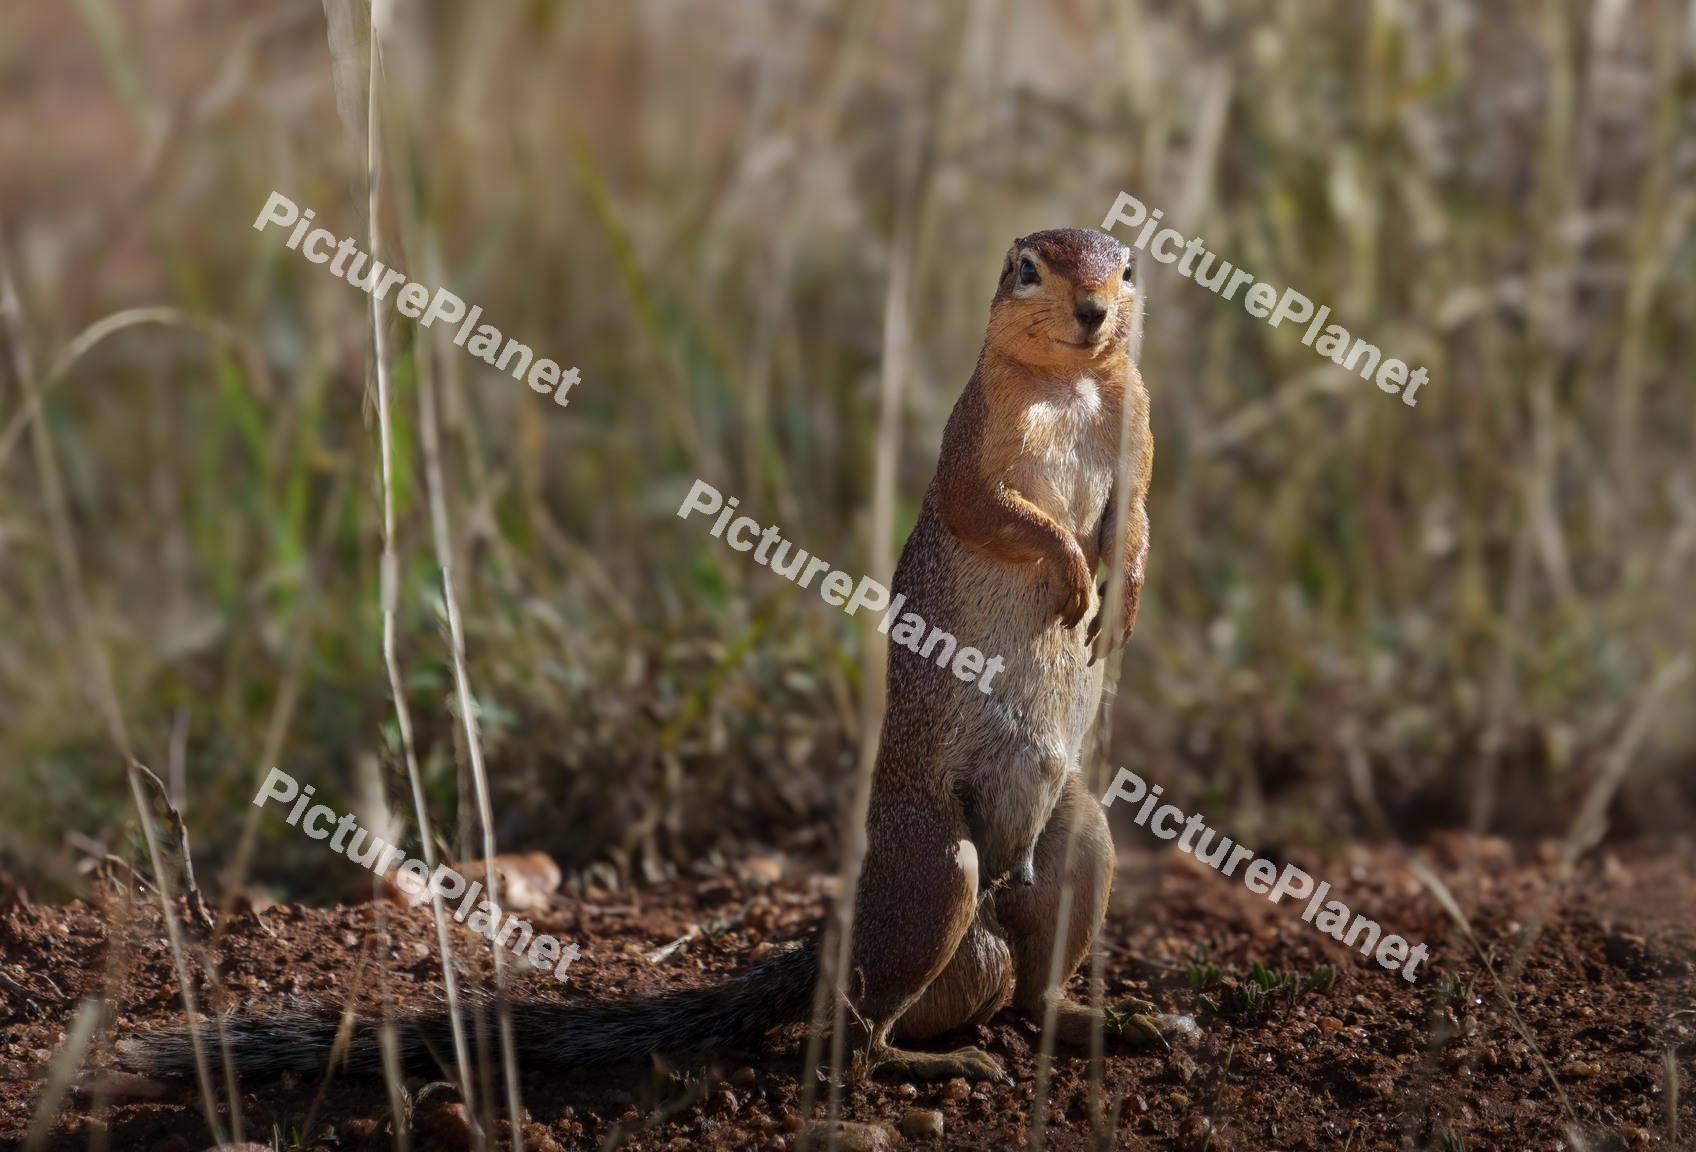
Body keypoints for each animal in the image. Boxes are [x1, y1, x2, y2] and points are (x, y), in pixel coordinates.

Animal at [117, 227, 1180, 1086]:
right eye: (1029, 267)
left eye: (1127, 266)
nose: (1094, 310)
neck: (1070, 384)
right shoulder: (975, 446)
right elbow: (997, 510)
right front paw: (1072, 573)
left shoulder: (1140, 429)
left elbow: (1136, 522)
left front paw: (1120, 599)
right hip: (935, 871)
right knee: (849, 1033)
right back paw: (923, 1068)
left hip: (1079, 837)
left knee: (1031, 988)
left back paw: (1108, 1019)